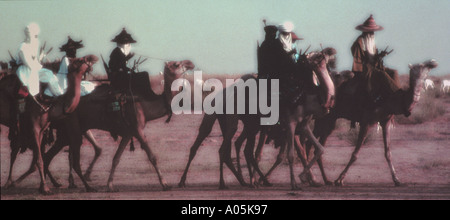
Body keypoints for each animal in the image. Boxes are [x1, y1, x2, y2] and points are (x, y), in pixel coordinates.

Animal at [39, 59, 193, 192]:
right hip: (73, 126)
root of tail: (59, 102)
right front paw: (165, 184)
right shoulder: (137, 129)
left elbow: (116, 159)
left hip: (65, 132)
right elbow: (152, 156)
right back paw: (86, 187)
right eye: (177, 64)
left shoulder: (128, 133)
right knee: (71, 160)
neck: (145, 105)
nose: (190, 63)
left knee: (47, 156)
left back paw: (48, 186)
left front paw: (110, 185)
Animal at [178, 47, 336, 189]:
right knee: (211, 145)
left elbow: (315, 150)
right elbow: (289, 154)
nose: (328, 54)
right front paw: (297, 183)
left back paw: (246, 181)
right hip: (226, 119)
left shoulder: (301, 125)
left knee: (237, 149)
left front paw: (310, 180)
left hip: (246, 125)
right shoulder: (290, 124)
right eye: (318, 56)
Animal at [308, 58, 438, 186]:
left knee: (313, 145)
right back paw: (314, 179)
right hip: (325, 118)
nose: (433, 62)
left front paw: (396, 179)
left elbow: (388, 153)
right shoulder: (366, 121)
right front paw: (339, 179)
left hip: (328, 119)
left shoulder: (385, 121)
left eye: (427, 66)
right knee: (313, 145)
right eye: (420, 66)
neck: (391, 98)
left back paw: (319, 179)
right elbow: (355, 154)